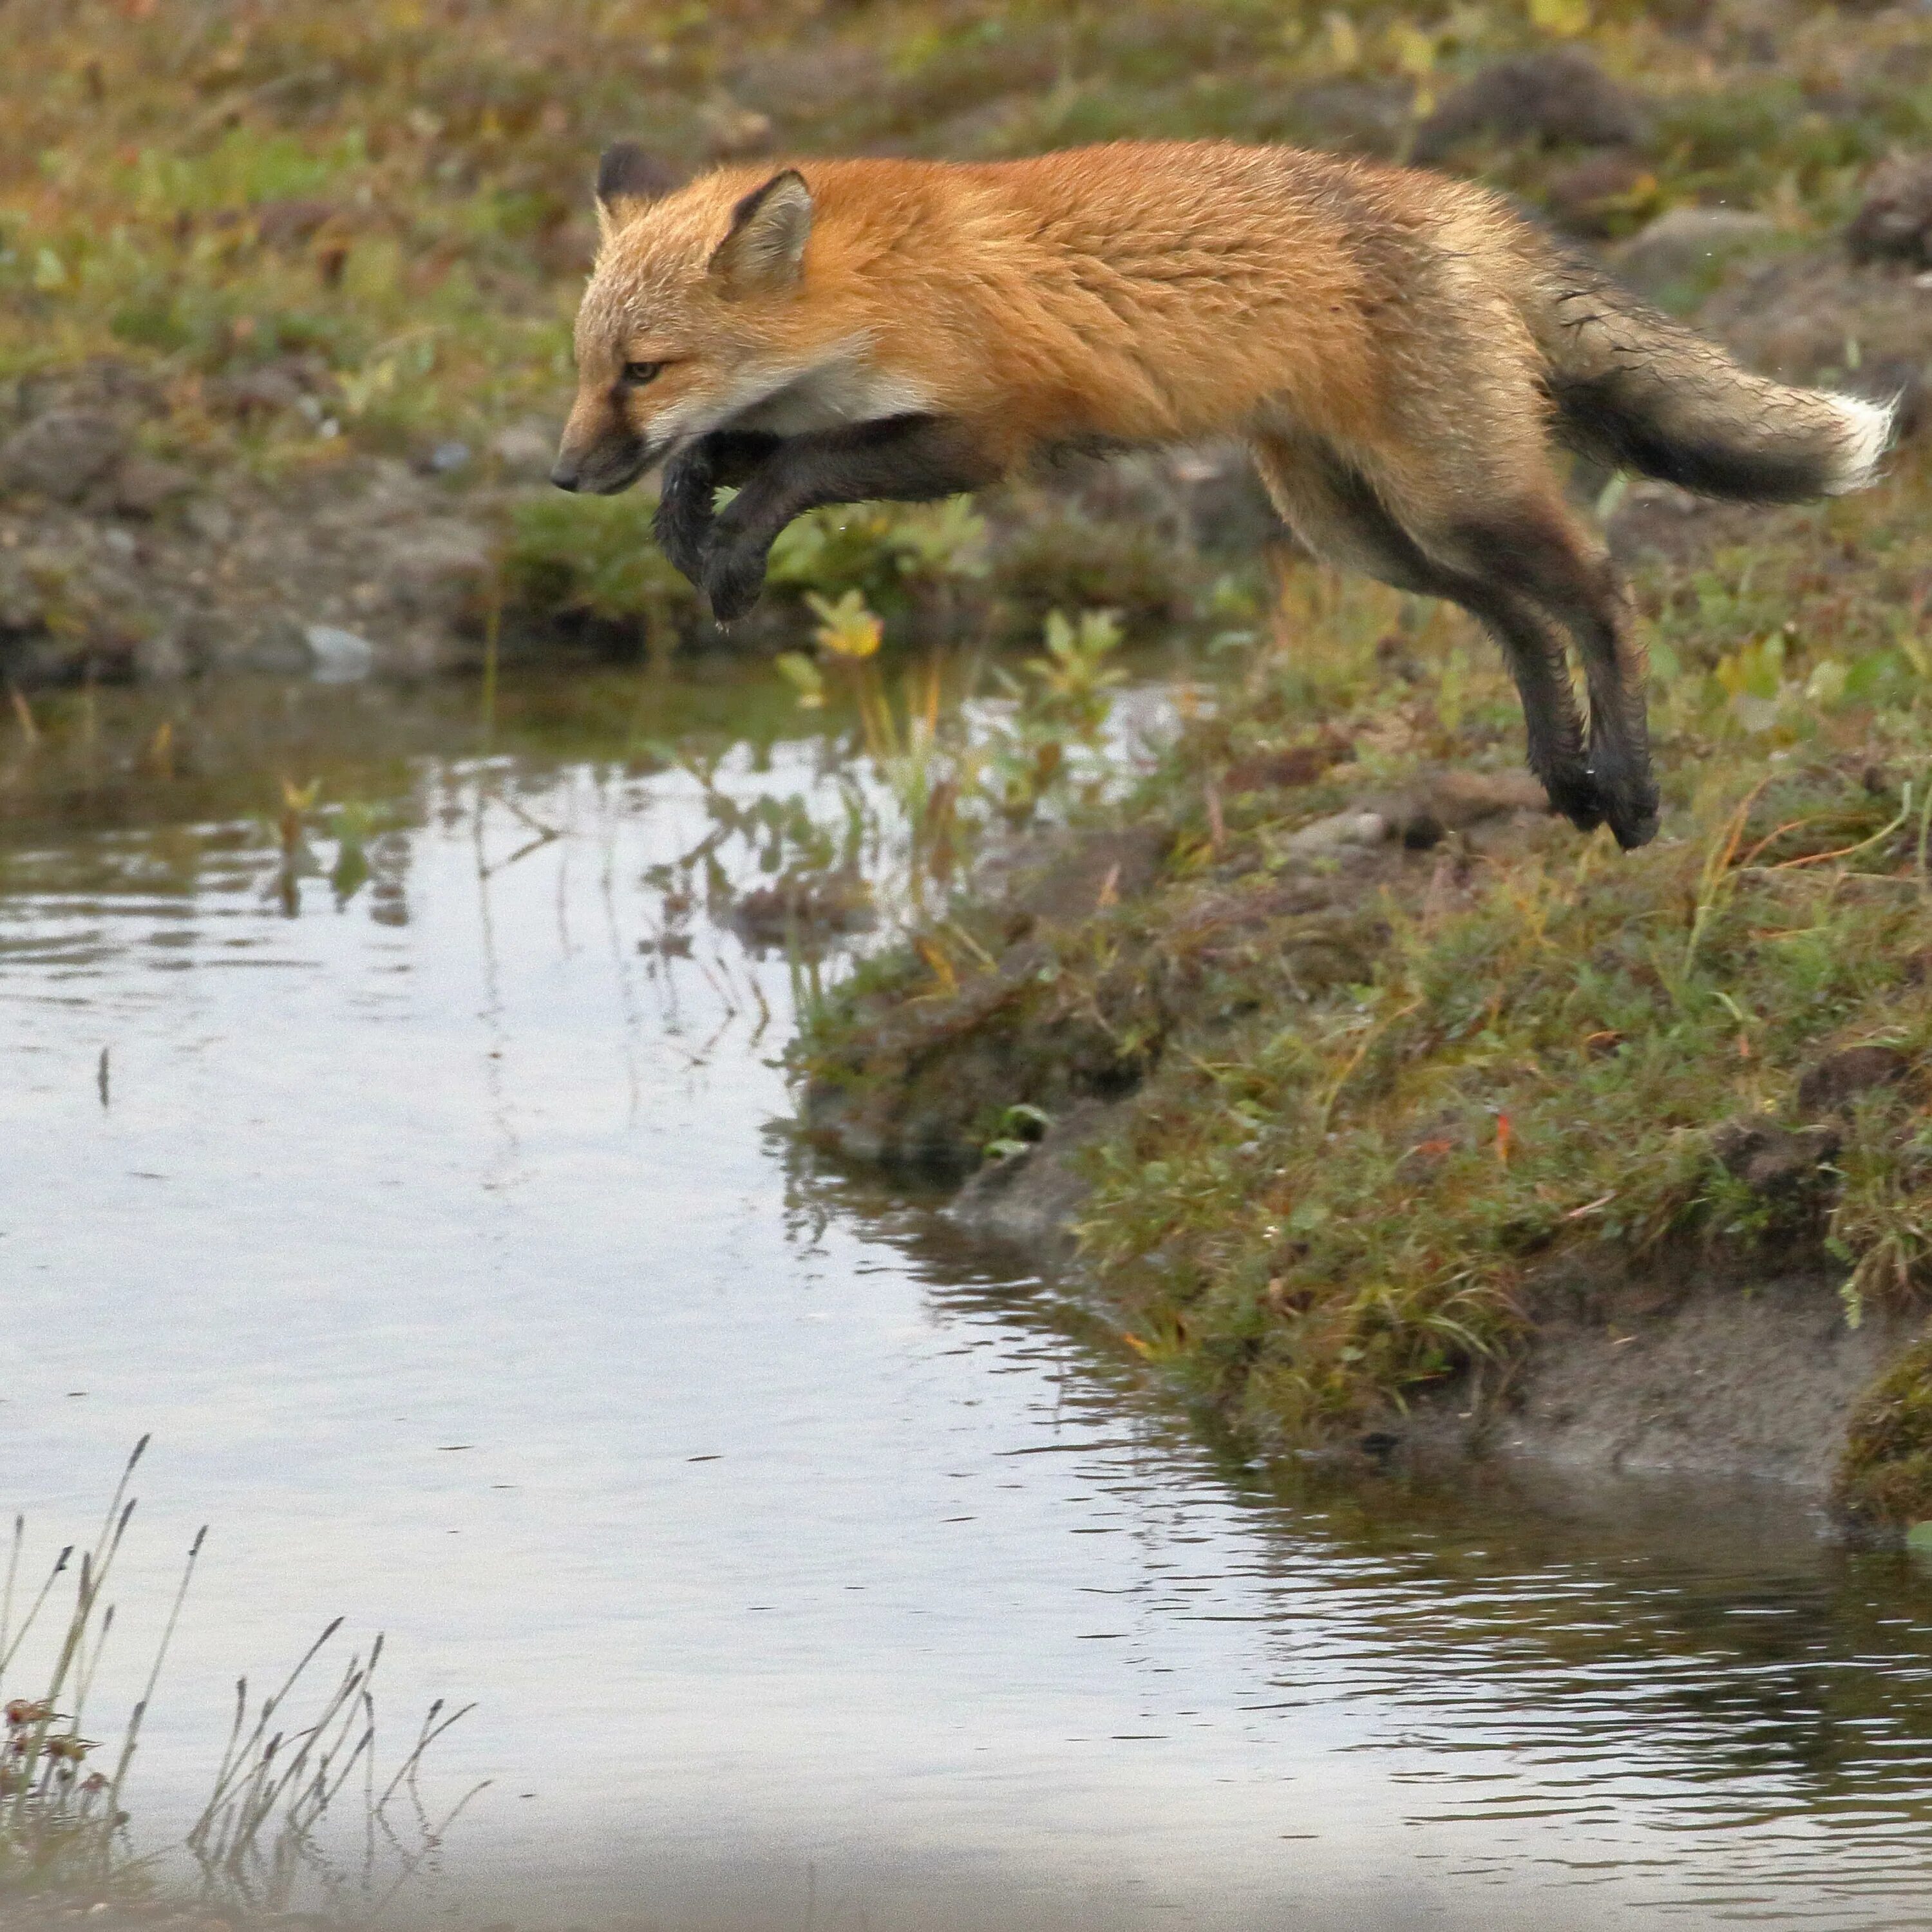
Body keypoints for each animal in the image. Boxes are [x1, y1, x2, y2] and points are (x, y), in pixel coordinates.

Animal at [553, 140, 1893, 850]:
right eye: (588, 368)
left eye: (643, 369)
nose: (564, 475)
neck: (882, 286)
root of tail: (1452, 204)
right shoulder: (853, 409)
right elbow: (739, 448)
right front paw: (688, 515)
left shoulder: (988, 431)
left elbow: (797, 468)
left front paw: (731, 552)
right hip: (1365, 532)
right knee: (1517, 619)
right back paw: (1561, 772)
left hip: (1453, 502)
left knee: (1602, 594)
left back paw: (1629, 784)